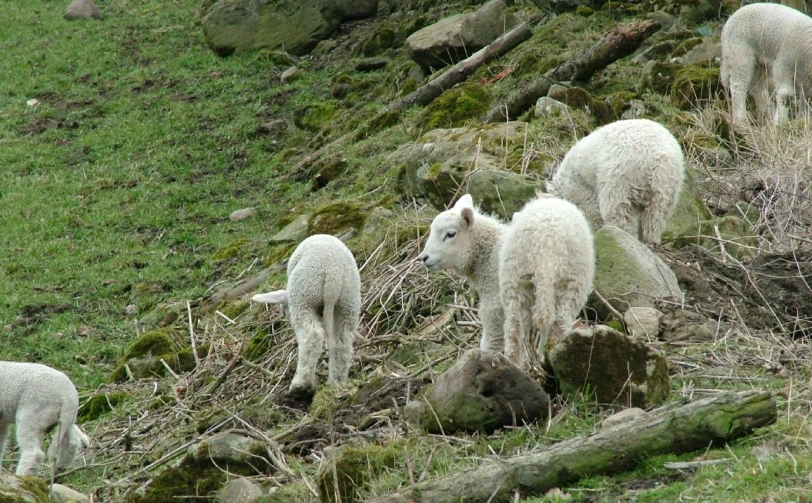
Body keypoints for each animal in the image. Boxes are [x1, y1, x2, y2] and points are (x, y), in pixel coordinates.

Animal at [249, 234, 360, 396]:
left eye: (284, 312)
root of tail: (334, 273)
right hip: (348, 301)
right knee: (342, 341)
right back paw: (336, 383)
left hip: (304, 296)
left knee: (312, 336)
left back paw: (300, 384)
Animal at [498, 195, 592, 368]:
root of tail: (546, 243)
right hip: (570, 282)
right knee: (559, 322)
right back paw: (551, 355)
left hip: (515, 278)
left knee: (515, 327)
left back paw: (515, 364)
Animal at [544, 118, 684, 244]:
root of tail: (659, 160)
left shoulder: (581, 189)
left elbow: (592, 210)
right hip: (669, 188)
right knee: (657, 215)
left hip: (621, 177)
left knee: (618, 211)